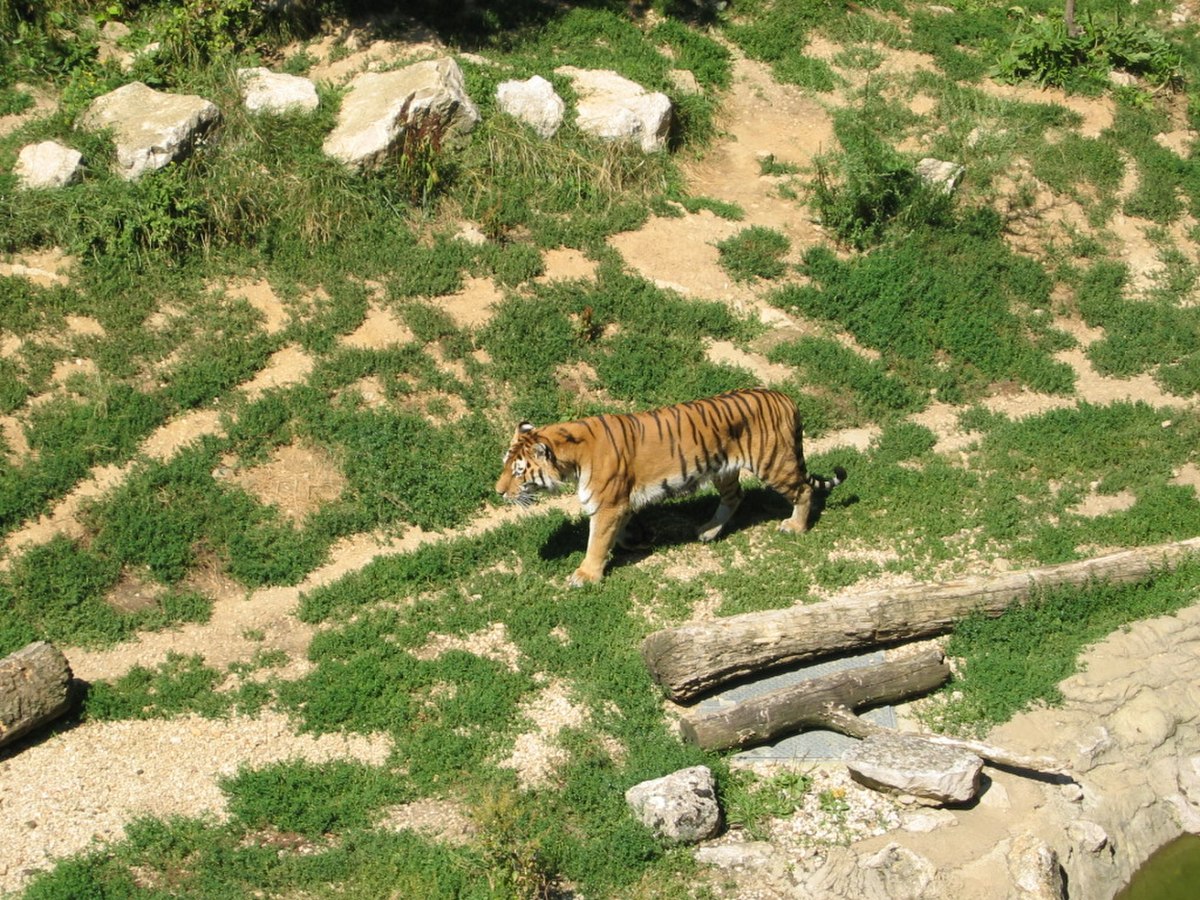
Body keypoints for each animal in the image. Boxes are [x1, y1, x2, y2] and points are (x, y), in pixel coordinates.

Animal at [496, 387, 846, 586]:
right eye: (505, 464)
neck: (572, 454)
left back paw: (795, 527)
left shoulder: (607, 504)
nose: (498, 491)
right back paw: (707, 531)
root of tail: (786, 397)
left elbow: (596, 541)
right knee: (735, 496)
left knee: (804, 490)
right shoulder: (620, 502)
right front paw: (636, 541)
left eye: (518, 471)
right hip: (723, 469)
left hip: (773, 463)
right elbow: (620, 530)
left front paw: (585, 576)